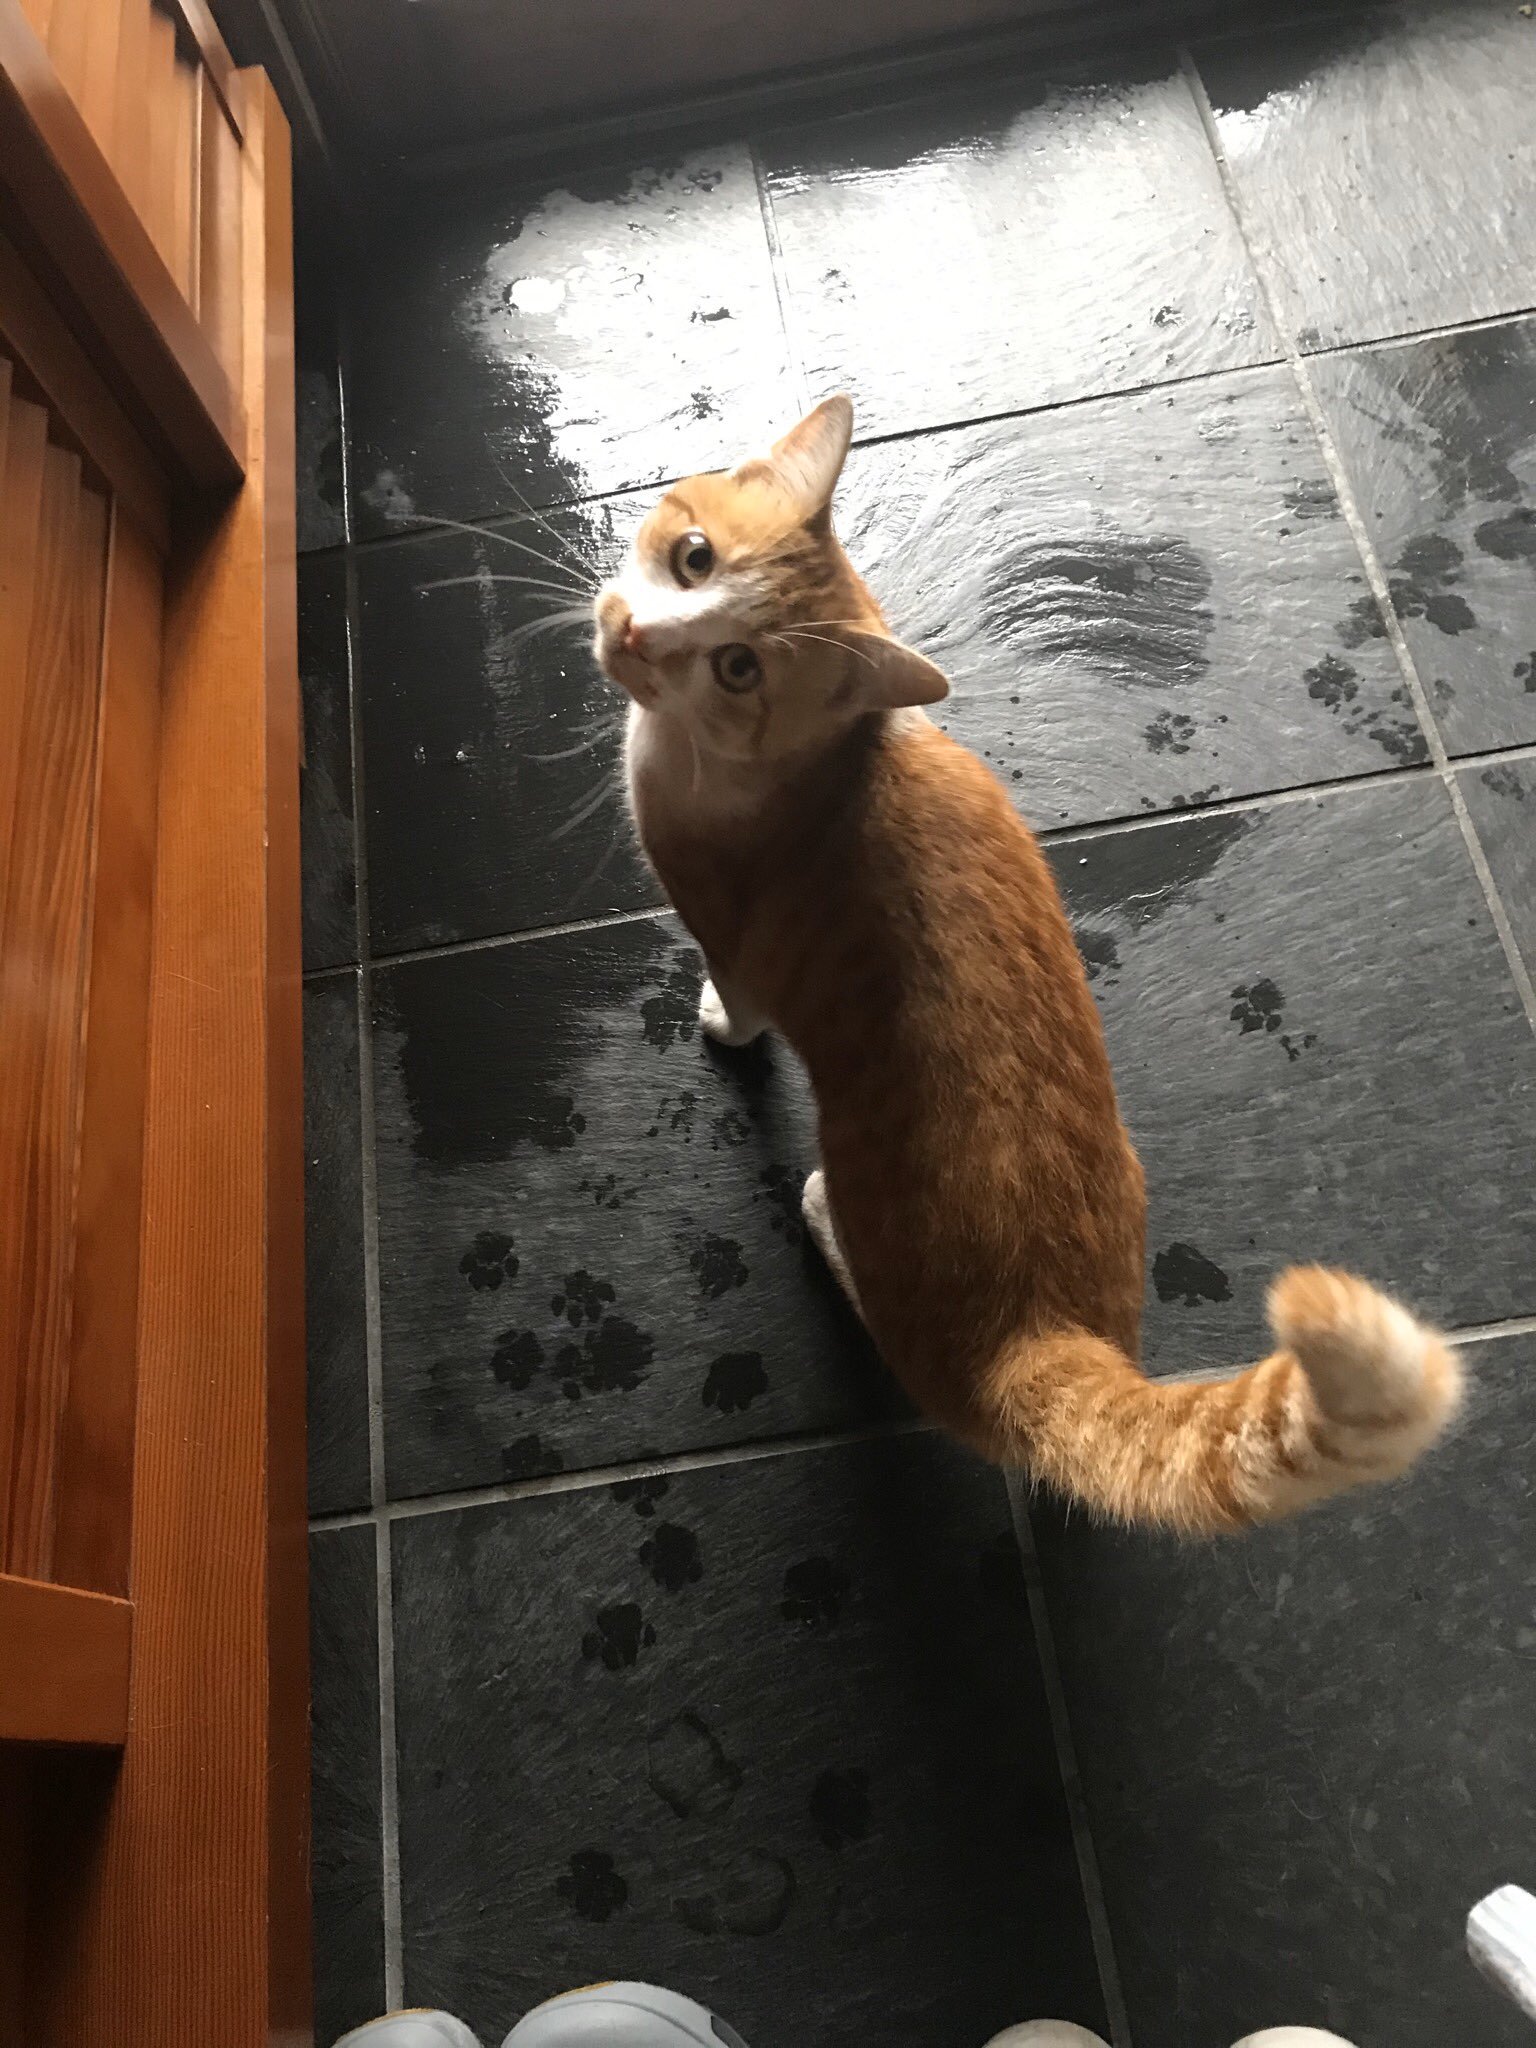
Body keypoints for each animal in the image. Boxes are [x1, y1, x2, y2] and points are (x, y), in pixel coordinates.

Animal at [593, 391, 1458, 1531]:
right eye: (693, 558)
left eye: (739, 667)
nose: (634, 634)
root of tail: (1044, 1331)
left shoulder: (726, 930)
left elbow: (737, 1002)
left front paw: (716, 1024)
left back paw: (822, 1221)